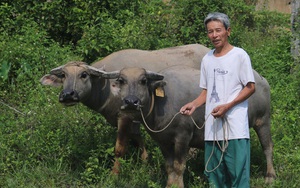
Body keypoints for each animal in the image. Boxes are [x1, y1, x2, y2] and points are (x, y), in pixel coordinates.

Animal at [39, 44, 209, 173]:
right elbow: (137, 140)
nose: (68, 94)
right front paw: (144, 163)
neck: (107, 87)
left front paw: (114, 174)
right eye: (63, 75)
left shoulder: (124, 116)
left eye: (84, 74)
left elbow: (119, 149)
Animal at [103, 65, 276, 187]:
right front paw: (170, 185)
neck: (161, 102)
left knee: (267, 147)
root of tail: (262, 80)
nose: (131, 102)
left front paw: (178, 185)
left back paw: (270, 176)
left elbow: (179, 166)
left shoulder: (183, 137)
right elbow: (169, 166)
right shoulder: (163, 141)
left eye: (143, 80)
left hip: (263, 121)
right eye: (121, 80)